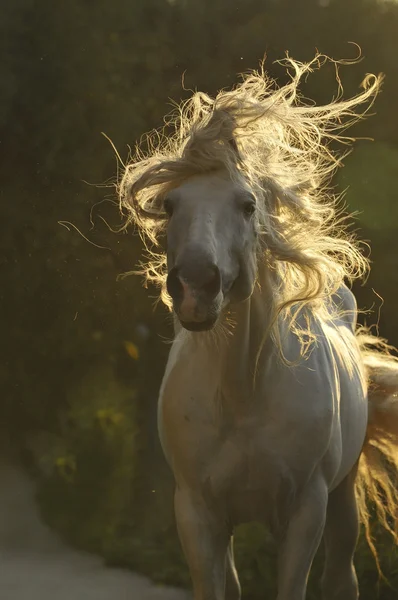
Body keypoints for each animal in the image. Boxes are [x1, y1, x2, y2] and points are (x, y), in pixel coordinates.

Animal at [119, 55, 398, 596]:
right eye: (170, 204)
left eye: (248, 205)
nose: (197, 284)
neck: (244, 393)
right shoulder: (198, 515)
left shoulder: (306, 511)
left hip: (341, 502)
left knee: (341, 577)